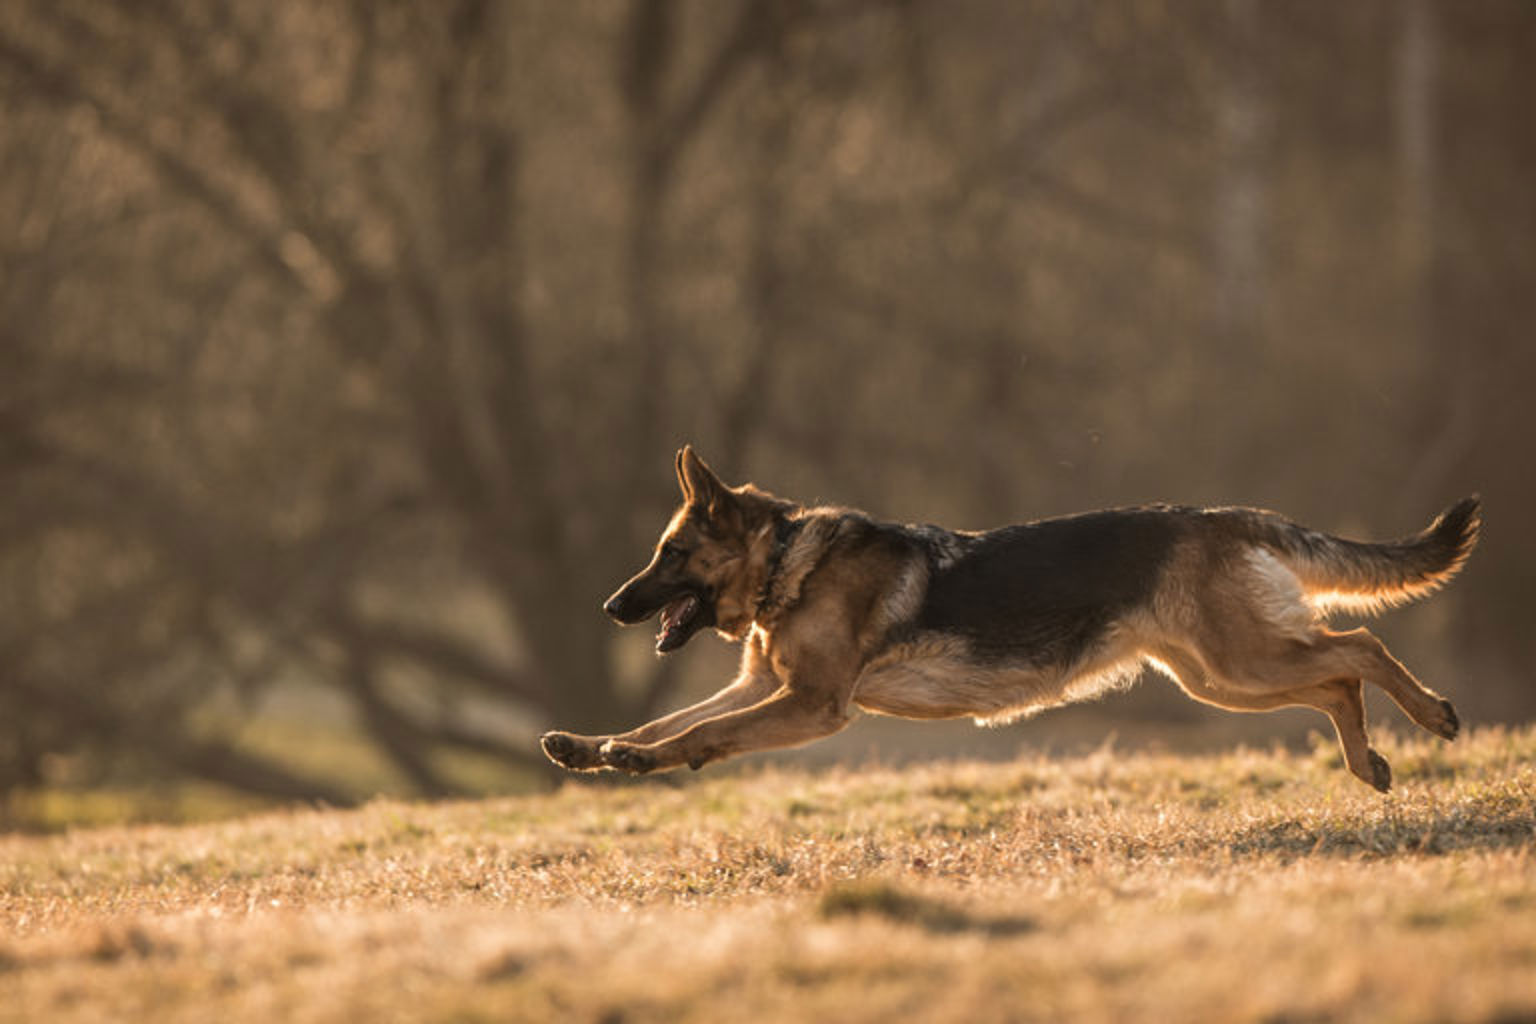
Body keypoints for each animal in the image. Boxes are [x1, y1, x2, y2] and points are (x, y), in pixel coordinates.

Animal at [537, 448, 1474, 792]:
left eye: (671, 554)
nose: (610, 607)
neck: (784, 562)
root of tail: (1224, 515)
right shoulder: (763, 687)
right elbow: (666, 720)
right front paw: (596, 747)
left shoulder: (809, 706)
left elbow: (701, 734)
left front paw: (640, 760)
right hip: (1221, 679)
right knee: (1340, 677)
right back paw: (1368, 761)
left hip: (1241, 663)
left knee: (1360, 646)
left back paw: (1431, 714)